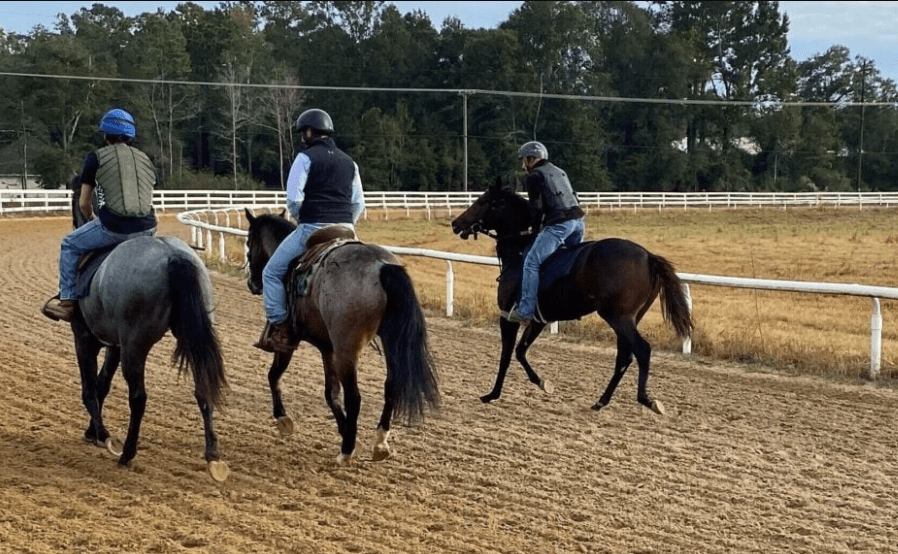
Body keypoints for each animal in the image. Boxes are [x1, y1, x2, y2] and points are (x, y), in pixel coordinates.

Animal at [62, 176, 229, 480]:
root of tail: (172, 255)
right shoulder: (115, 344)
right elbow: (102, 384)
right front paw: (93, 432)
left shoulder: (84, 338)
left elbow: (90, 387)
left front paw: (102, 434)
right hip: (190, 336)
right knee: (202, 387)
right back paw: (212, 455)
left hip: (136, 346)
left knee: (138, 397)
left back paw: (127, 453)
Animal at [244, 208, 440, 464]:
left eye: (249, 242)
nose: (251, 283)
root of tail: (381, 266)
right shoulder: (327, 348)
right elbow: (331, 393)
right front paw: (345, 429)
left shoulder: (289, 342)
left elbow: (274, 375)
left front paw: (283, 420)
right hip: (389, 341)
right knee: (391, 385)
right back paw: (379, 442)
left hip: (347, 349)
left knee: (354, 397)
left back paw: (346, 451)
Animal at [450, 178, 693, 413]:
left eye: (482, 201)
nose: (455, 223)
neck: (519, 253)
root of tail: (648, 256)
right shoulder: (539, 320)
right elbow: (520, 351)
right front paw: (542, 383)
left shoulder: (508, 317)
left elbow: (506, 356)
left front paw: (492, 394)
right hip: (630, 318)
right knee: (625, 356)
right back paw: (601, 401)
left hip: (618, 317)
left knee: (641, 350)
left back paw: (647, 400)